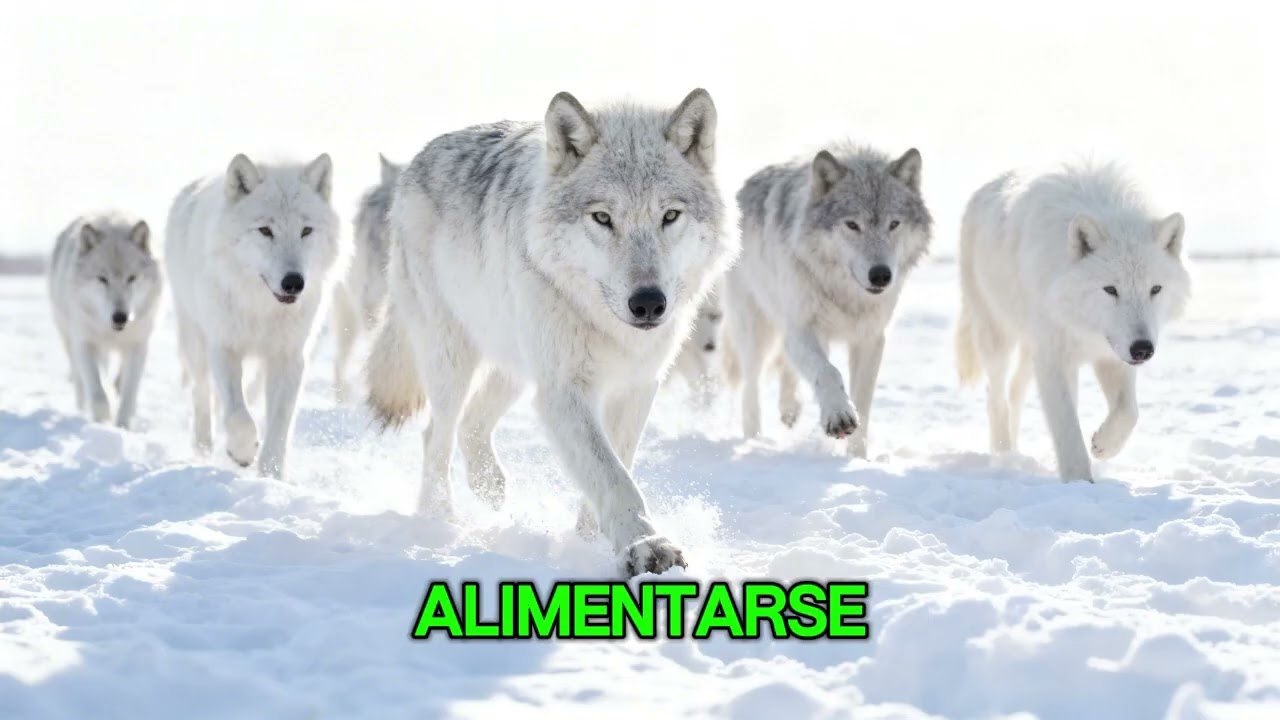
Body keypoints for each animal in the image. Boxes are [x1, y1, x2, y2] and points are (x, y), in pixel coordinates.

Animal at [48, 213, 163, 428]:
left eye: (132, 278)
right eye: (102, 279)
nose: (120, 317)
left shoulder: (138, 344)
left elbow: (129, 392)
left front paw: (123, 426)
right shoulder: (84, 343)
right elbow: (97, 392)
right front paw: (101, 422)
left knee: (119, 379)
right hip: (69, 340)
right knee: (80, 380)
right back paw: (82, 410)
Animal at [165, 153, 345, 478]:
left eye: (306, 231)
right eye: (265, 231)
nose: (293, 282)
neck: (262, 308)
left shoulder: (288, 357)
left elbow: (279, 425)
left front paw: (271, 476)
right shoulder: (223, 347)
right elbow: (237, 415)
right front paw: (242, 451)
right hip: (195, 343)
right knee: (202, 393)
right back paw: (204, 446)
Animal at [365, 89, 734, 576]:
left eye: (670, 215)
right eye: (602, 218)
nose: (649, 303)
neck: (609, 327)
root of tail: (419, 158)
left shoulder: (636, 386)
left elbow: (615, 465)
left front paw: (589, 542)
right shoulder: (564, 389)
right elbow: (612, 476)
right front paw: (645, 547)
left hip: (517, 367)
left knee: (471, 424)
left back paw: (490, 488)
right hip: (454, 360)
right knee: (436, 436)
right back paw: (438, 522)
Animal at [723, 144, 932, 457]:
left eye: (894, 224)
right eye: (852, 225)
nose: (881, 275)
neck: (846, 295)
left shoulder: (870, 339)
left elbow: (863, 404)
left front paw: (857, 458)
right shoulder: (803, 329)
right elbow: (828, 372)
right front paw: (839, 415)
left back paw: (789, 409)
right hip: (756, 331)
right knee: (751, 390)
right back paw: (754, 441)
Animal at [955, 162, 1190, 481]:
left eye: (1155, 289)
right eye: (1110, 289)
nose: (1143, 349)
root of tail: (983, 189)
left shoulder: (1111, 353)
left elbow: (1129, 411)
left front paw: (1103, 446)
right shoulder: (1054, 358)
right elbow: (1067, 429)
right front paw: (1080, 483)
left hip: (1032, 351)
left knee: (1016, 392)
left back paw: (1016, 453)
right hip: (997, 336)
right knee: (996, 396)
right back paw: (1004, 457)